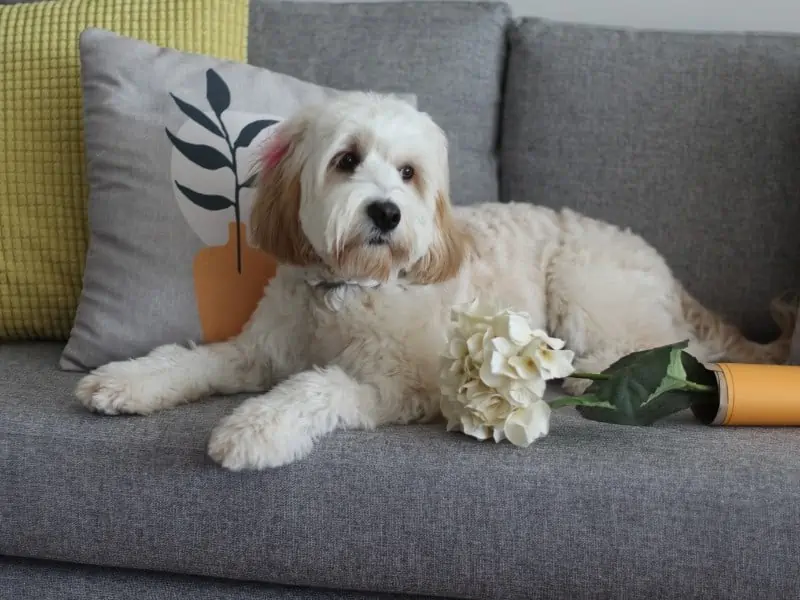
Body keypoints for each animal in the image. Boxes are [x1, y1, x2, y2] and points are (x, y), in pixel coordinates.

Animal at [75, 91, 792, 472]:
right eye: (346, 160)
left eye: (409, 173)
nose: (387, 212)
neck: (348, 290)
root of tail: (667, 271)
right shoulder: (258, 351)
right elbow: (193, 359)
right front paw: (125, 381)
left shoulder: (399, 386)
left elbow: (312, 388)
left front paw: (252, 431)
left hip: (584, 284)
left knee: (654, 349)